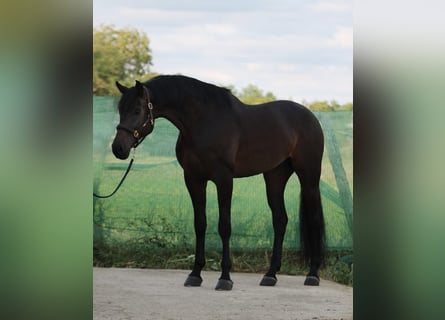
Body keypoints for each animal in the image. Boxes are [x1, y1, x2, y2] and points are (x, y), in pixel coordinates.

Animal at [112, 75, 324, 290]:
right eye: (121, 110)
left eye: (137, 110)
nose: (118, 148)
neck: (204, 123)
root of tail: (310, 116)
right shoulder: (194, 179)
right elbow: (200, 224)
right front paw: (195, 274)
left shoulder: (224, 180)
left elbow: (224, 226)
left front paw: (225, 278)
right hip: (275, 178)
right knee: (280, 220)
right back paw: (270, 275)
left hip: (309, 178)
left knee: (314, 220)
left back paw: (312, 274)